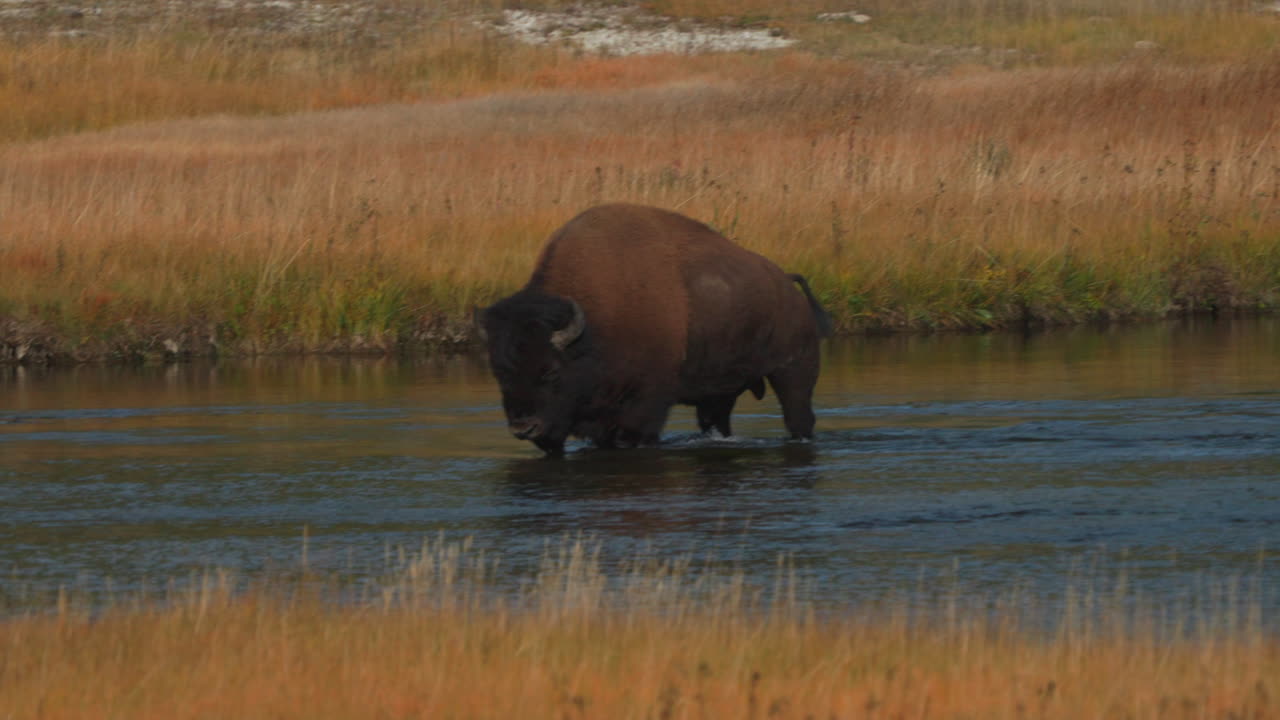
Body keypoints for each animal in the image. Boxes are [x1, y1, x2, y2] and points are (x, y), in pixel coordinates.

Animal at [475, 203, 831, 456]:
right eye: (499, 372)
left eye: (550, 371)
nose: (524, 428)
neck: (594, 327)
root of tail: (787, 282)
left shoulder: (644, 408)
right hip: (719, 392)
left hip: (794, 371)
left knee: (799, 416)